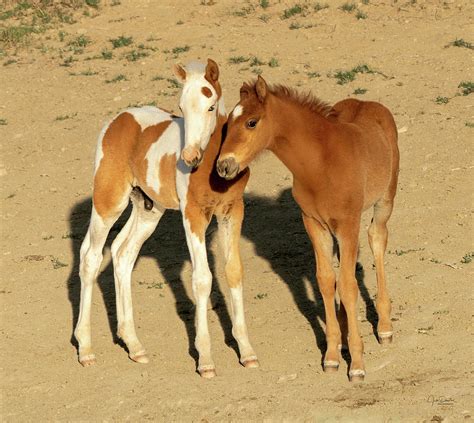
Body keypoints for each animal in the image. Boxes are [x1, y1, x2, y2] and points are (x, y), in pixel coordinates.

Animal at [74, 58, 260, 378]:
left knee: (122, 254)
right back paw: (85, 348)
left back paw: (134, 345)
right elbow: (202, 279)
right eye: (181, 107)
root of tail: (119, 119)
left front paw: (246, 351)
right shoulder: (192, 215)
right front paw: (206, 360)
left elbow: (233, 271)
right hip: (109, 200)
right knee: (91, 257)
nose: (189, 157)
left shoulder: (232, 211)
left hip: (148, 209)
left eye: (211, 106)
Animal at [218, 76, 400, 384]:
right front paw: (332, 355)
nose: (223, 166)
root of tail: (369, 103)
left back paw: (384, 327)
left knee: (377, 239)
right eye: (227, 123)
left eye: (252, 122)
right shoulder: (313, 223)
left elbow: (348, 286)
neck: (321, 164)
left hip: (384, 200)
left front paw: (357, 364)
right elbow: (326, 281)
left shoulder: (348, 223)